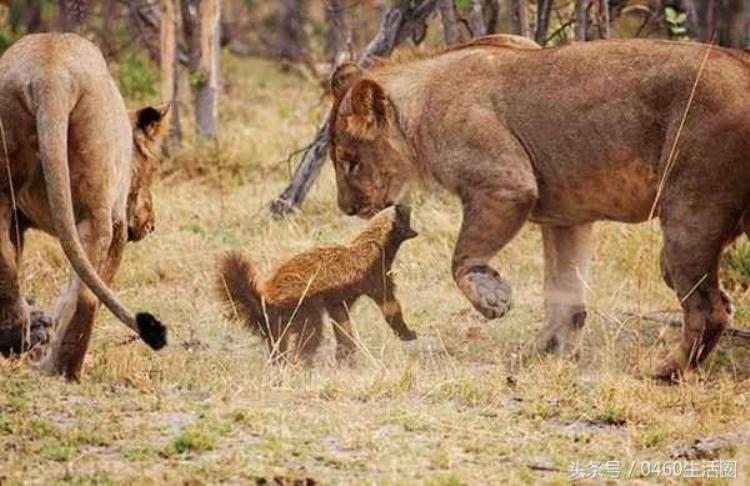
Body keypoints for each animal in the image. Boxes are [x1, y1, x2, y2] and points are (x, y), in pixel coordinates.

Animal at [0, 34, 169, 380]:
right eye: (152, 170)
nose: (151, 224)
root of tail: (50, 74)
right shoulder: (118, 225)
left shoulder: (18, 219)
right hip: (97, 211)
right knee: (86, 295)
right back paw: (63, 369)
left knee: (5, 259)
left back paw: (15, 339)